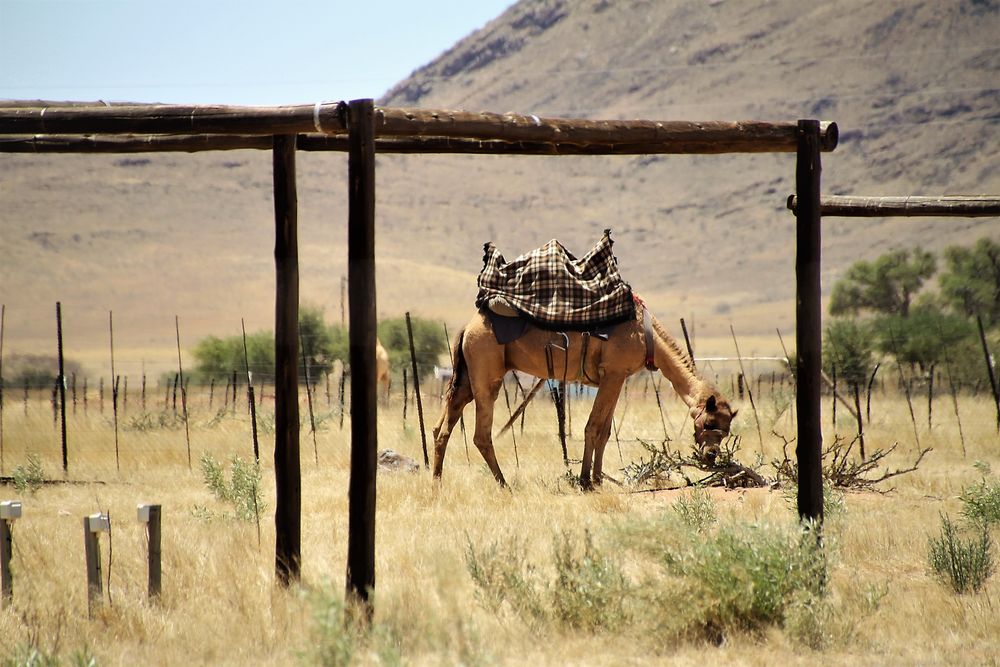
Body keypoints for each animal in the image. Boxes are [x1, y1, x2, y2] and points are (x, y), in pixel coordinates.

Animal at [430, 300, 736, 488]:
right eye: (709, 422)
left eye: (726, 430)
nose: (711, 455)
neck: (648, 336)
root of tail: (466, 328)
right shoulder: (613, 373)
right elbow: (593, 427)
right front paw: (585, 481)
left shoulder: (617, 378)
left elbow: (605, 432)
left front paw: (598, 479)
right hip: (487, 371)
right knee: (481, 434)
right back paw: (505, 484)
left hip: (466, 376)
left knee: (441, 427)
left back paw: (436, 483)